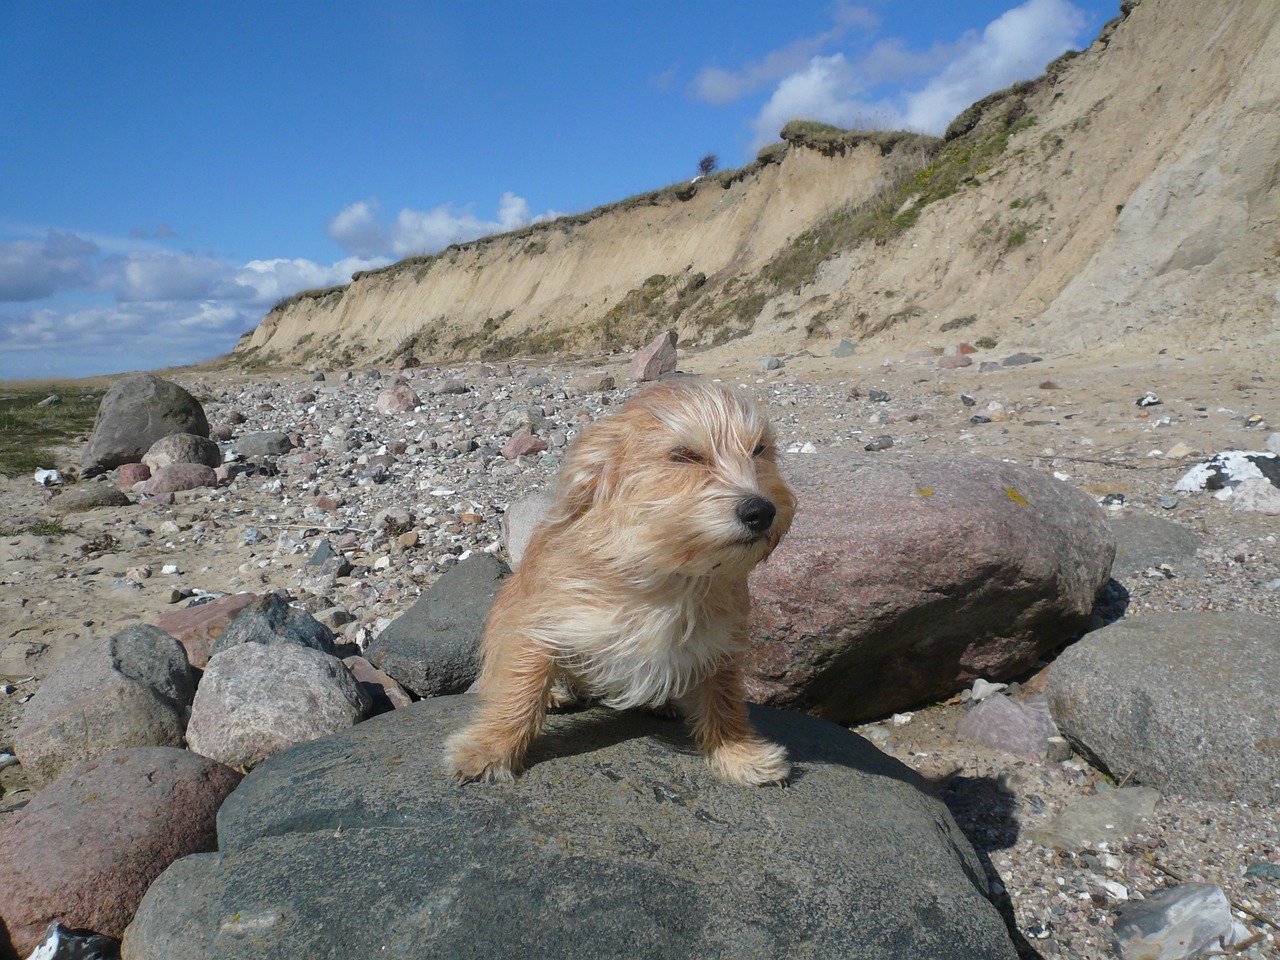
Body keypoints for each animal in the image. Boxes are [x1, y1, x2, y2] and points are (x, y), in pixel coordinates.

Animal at [445, 378, 793, 788]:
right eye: (685, 456)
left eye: (759, 450)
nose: (761, 511)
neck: (663, 570)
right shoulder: (543, 623)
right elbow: (521, 689)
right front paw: (490, 748)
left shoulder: (719, 641)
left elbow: (723, 697)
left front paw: (738, 752)